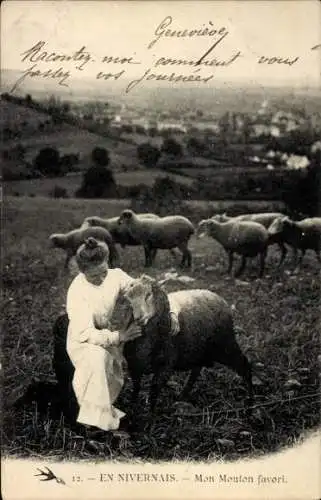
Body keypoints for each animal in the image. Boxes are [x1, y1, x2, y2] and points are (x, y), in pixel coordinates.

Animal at [52, 274, 252, 418]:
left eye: (149, 295)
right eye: (128, 299)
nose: (139, 318)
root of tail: (218, 297)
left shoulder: (165, 366)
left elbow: (154, 390)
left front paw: (150, 415)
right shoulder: (134, 365)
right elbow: (137, 386)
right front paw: (133, 405)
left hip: (226, 344)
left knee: (244, 364)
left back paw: (250, 400)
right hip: (199, 350)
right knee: (196, 370)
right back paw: (183, 394)